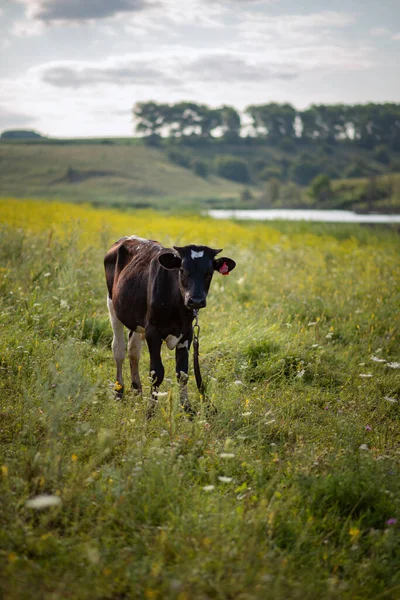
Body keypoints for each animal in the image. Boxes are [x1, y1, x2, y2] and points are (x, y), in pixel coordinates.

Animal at [103, 236, 236, 418]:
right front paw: (150, 411)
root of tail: (126, 238)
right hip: (112, 306)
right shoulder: (152, 332)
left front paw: (187, 410)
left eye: (209, 273)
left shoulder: (187, 333)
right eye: (183, 270)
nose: (196, 300)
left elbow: (183, 374)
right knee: (118, 349)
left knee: (133, 350)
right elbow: (156, 373)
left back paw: (137, 391)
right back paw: (119, 392)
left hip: (136, 320)